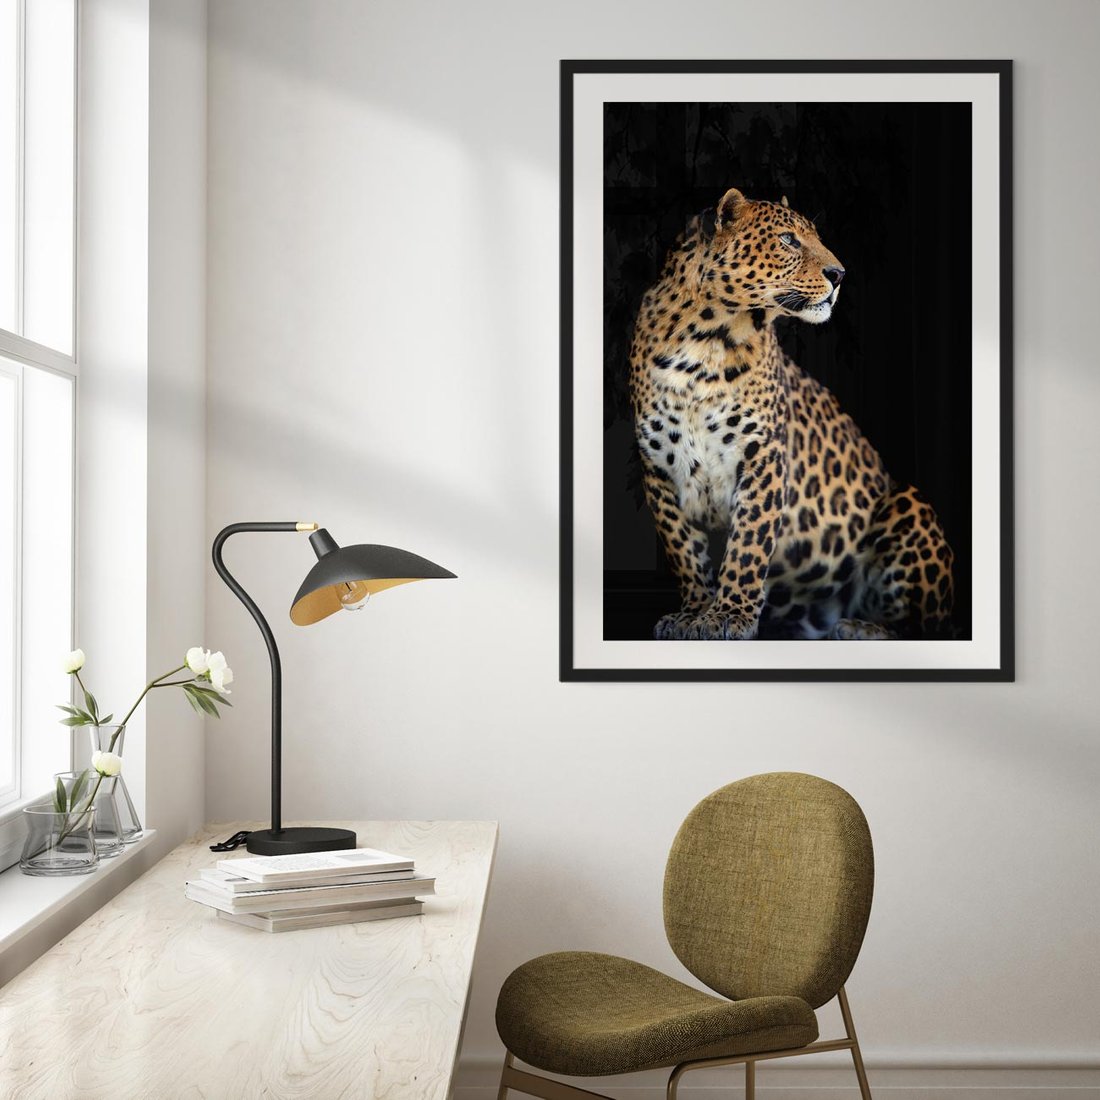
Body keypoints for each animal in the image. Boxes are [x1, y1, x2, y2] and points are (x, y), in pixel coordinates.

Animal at [627, 186, 954, 641]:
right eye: (788, 240)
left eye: (814, 237)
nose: (839, 274)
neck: (704, 341)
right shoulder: (657, 466)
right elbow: (684, 550)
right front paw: (693, 613)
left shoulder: (762, 454)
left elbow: (748, 543)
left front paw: (728, 615)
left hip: (908, 501)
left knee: (928, 626)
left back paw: (861, 628)